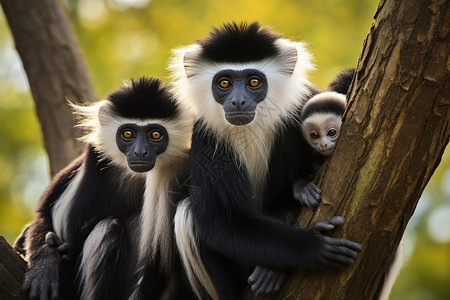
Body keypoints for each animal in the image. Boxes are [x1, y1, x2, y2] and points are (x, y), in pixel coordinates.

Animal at [19, 78, 193, 300]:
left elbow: (159, 262)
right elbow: (44, 215)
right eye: (127, 133)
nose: (140, 152)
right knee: (109, 228)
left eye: (155, 134)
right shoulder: (94, 158)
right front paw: (44, 266)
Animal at [170, 21, 362, 300]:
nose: (238, 101)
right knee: (188, 215)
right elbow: (220, 219)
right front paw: (314, 245)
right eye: (224, 83)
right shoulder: (205, 137)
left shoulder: (301, 106)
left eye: (253, 81)